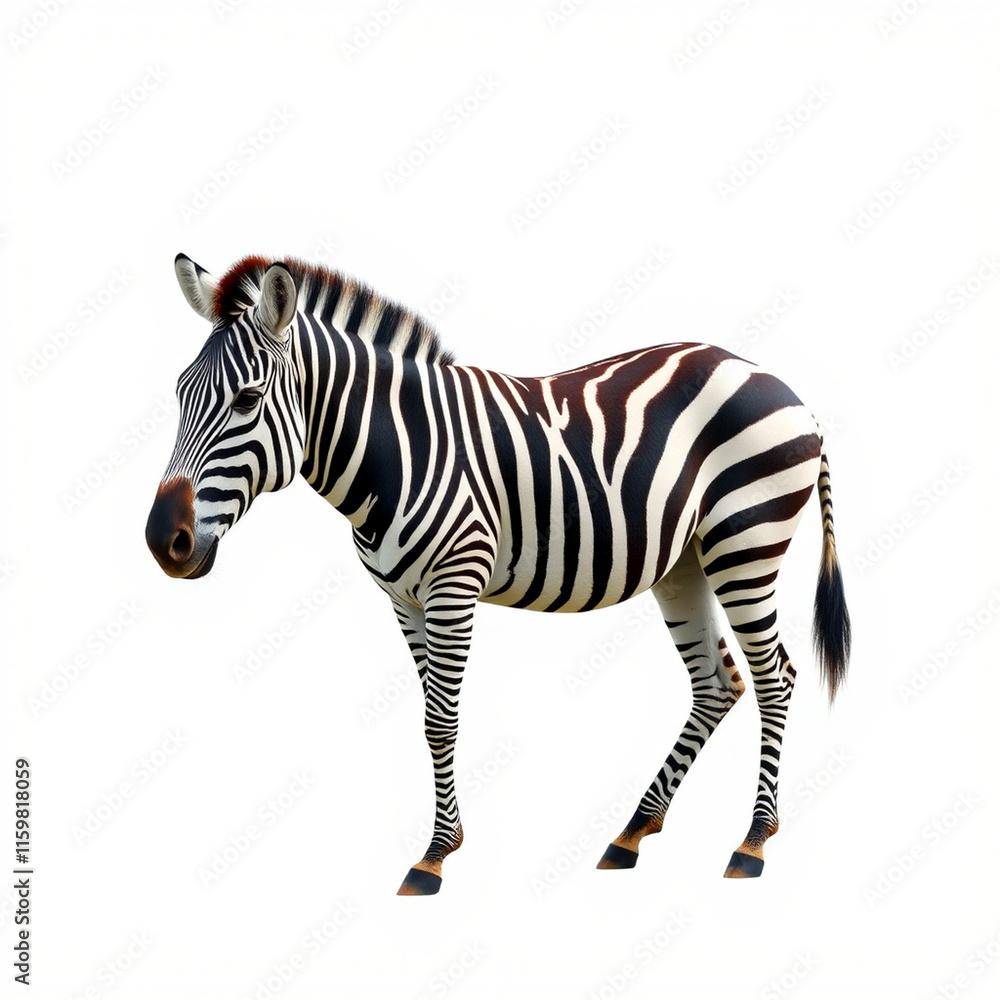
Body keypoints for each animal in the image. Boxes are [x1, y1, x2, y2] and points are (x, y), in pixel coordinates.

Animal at [146, 253, 851, 895]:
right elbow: (429, 719)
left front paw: (433, 858)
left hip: (746, 542)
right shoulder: (403, 598)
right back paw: (631, 834)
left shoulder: (455, 581)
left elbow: (441, 719)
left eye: (247, 399)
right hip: (685, 561)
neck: (395, 453)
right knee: (717, 683)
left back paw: (752, 844)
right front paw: (447, 841)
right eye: (179, 393)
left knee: (776, 677)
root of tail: (782, 387)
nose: (161, 541)